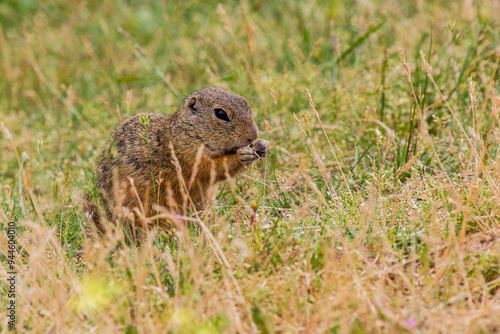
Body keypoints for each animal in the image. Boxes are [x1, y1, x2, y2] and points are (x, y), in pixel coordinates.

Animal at [83, 86, 270, 230]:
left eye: (245, 102)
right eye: (220, 113)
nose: (254, 134)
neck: (186, 131)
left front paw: (263, 144)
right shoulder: (188, 155)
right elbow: (212, 168)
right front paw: (242, 155)